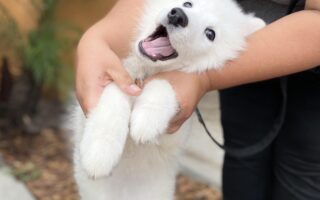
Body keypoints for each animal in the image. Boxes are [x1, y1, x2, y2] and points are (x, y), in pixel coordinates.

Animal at [72, 0, 264, 199]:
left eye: (210, 34)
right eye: (188, 3)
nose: (178, 15)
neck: (148, 71)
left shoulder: (174, 131)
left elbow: (164, 84)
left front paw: (146, 121)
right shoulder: (117, 79)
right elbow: (113, 100)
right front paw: (99, 153)